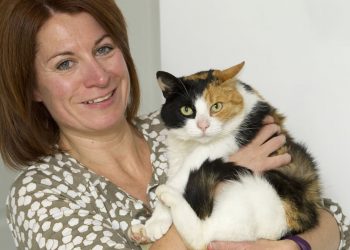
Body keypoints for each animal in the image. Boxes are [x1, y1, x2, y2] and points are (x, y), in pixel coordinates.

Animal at [129, 61, 322, 249]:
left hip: (256, 194)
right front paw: (154, 223)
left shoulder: (232, 137)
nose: (203, 126)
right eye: (186, 110)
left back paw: (166, 194)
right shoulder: (177, 154)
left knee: (201, 237)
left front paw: (155, 222)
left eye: (216, 106)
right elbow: (177, 173)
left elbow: (182, 174)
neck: (193, 144)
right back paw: (139, 233)